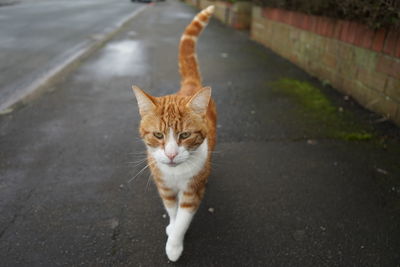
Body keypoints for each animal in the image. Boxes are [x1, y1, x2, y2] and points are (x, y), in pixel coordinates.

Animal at [131, 5, 216, 262]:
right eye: (158, 135)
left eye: (185, 135)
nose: (170, 154)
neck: (176, 173)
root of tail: (189, 86)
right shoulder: (165, 187)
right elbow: (172, 210)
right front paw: (171, 227)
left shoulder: (192, 191)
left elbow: (183, 219)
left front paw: (174, 246)